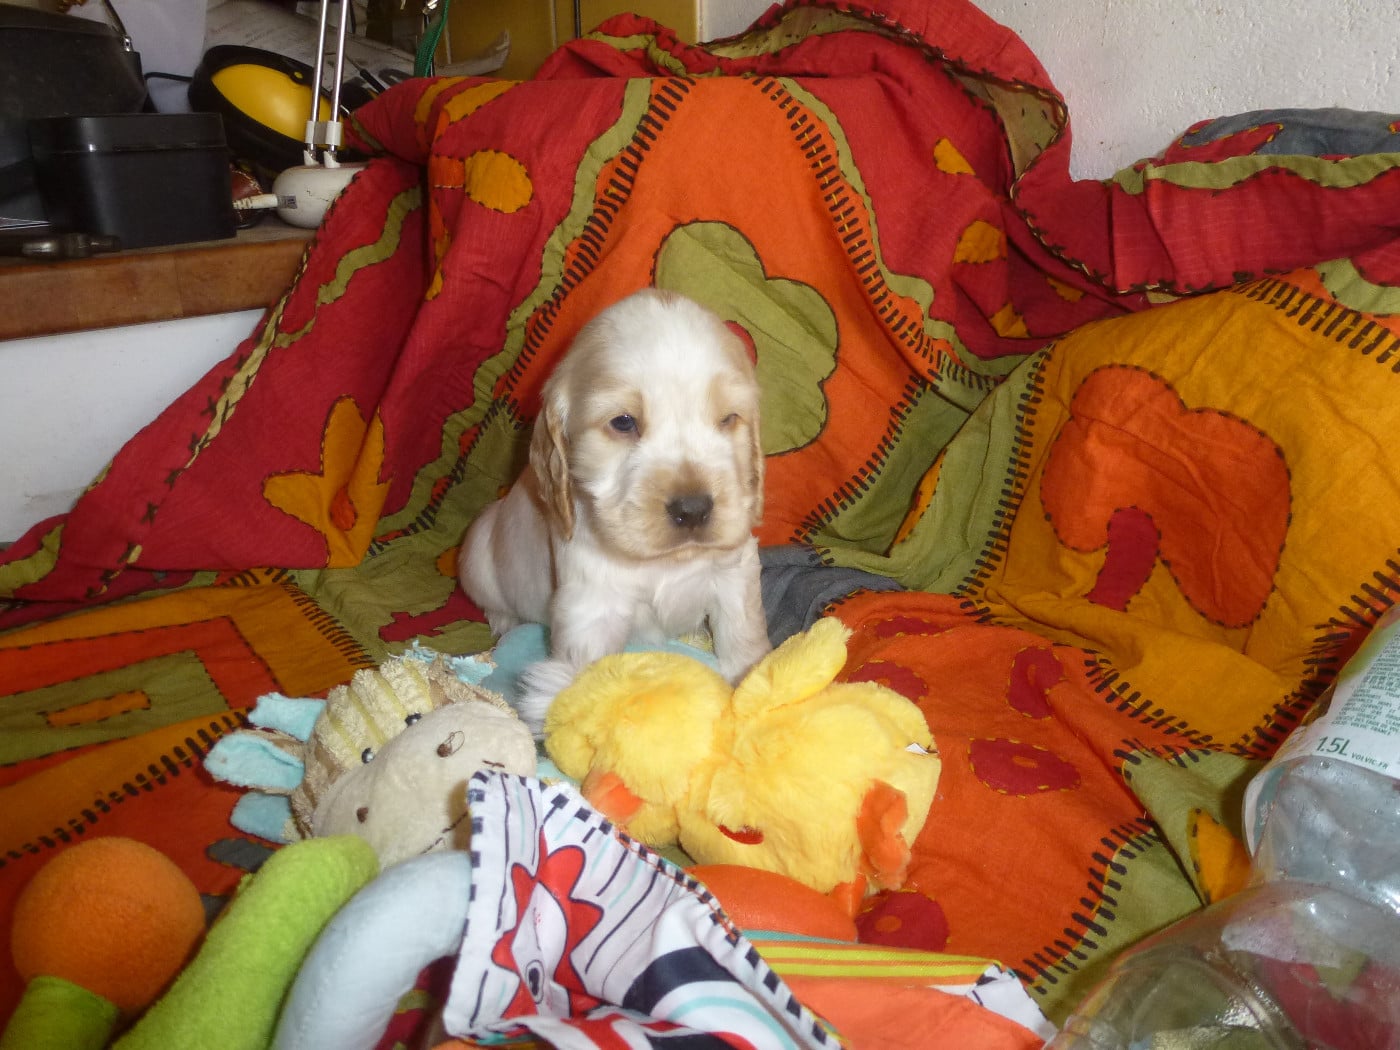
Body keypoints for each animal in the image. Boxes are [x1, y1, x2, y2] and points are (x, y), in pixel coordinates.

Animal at [458, 289, 771, 733]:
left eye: (728, 418)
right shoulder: (591, 604)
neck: (664, 562)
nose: (693, 509)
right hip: (478, 552)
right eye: (623, 422)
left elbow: (744, 634)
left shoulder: (735, 572)